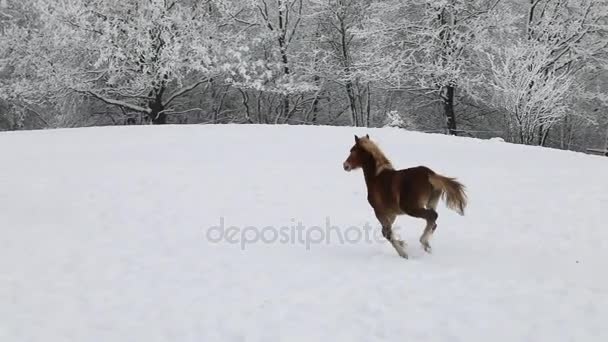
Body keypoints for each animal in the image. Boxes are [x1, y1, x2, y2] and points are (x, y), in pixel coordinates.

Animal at [342, 135, 470, 258]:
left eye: (352, 151)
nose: (345, 165)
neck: (376, 178)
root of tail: (431, 174)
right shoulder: (392, 213)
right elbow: (386, 231)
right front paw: (403, 243)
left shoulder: (379, 211)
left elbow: (387, 233)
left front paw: (403, 254)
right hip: (431, 203)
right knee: (433, 222)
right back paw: (427, 247)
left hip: (411, 208)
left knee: (432, 216)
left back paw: (423, 242)